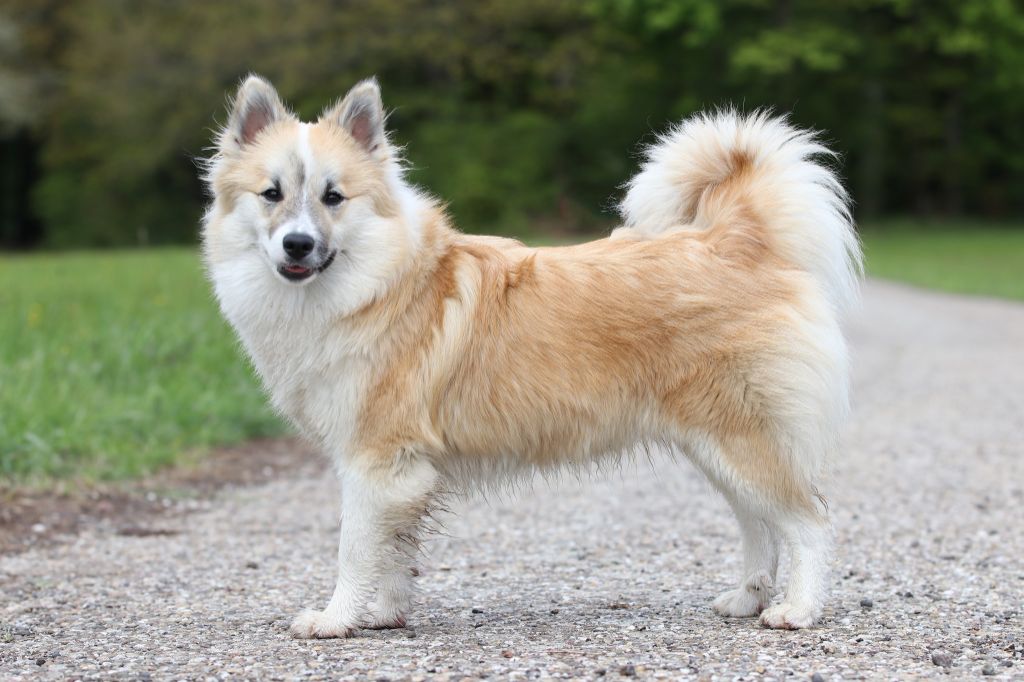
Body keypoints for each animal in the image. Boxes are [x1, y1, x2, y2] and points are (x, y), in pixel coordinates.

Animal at [201, 75, 862, 637]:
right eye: (271, 194)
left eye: (333, 197)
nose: (297, 244)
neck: (377, 281)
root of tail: (735, 238)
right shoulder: (400, 475)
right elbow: (394, 553)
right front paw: (385, 615)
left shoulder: (375, 461)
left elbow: (356, 550)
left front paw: (337, 619)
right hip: (715, 447)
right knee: (759, 524)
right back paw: (747, 599)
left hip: (741, 439)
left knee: (808, 520)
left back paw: (797, 610)